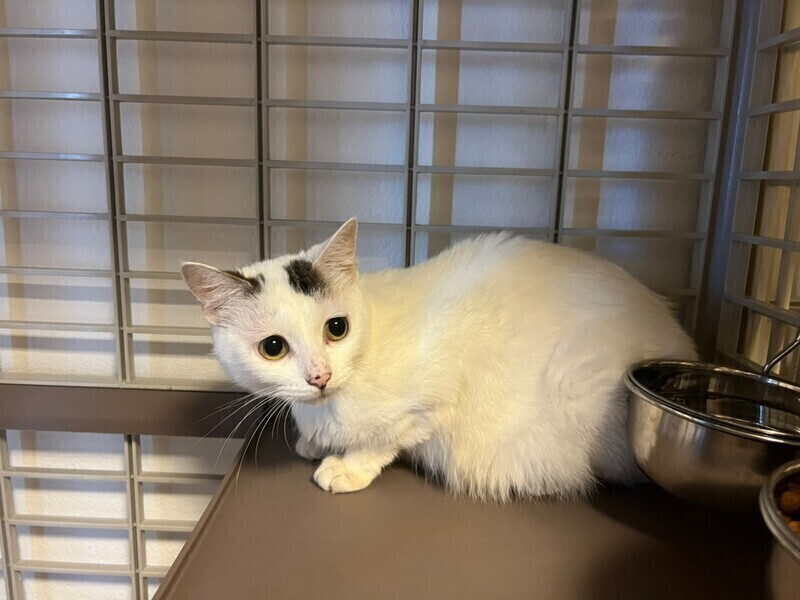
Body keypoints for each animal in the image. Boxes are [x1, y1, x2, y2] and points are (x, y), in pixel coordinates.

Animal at [182, 218, 697, 501]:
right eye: (273, 347)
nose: (320, 376)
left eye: (336, 328)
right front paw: (314, 442)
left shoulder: (433, 398)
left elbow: (384, 441)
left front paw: (347, 467)